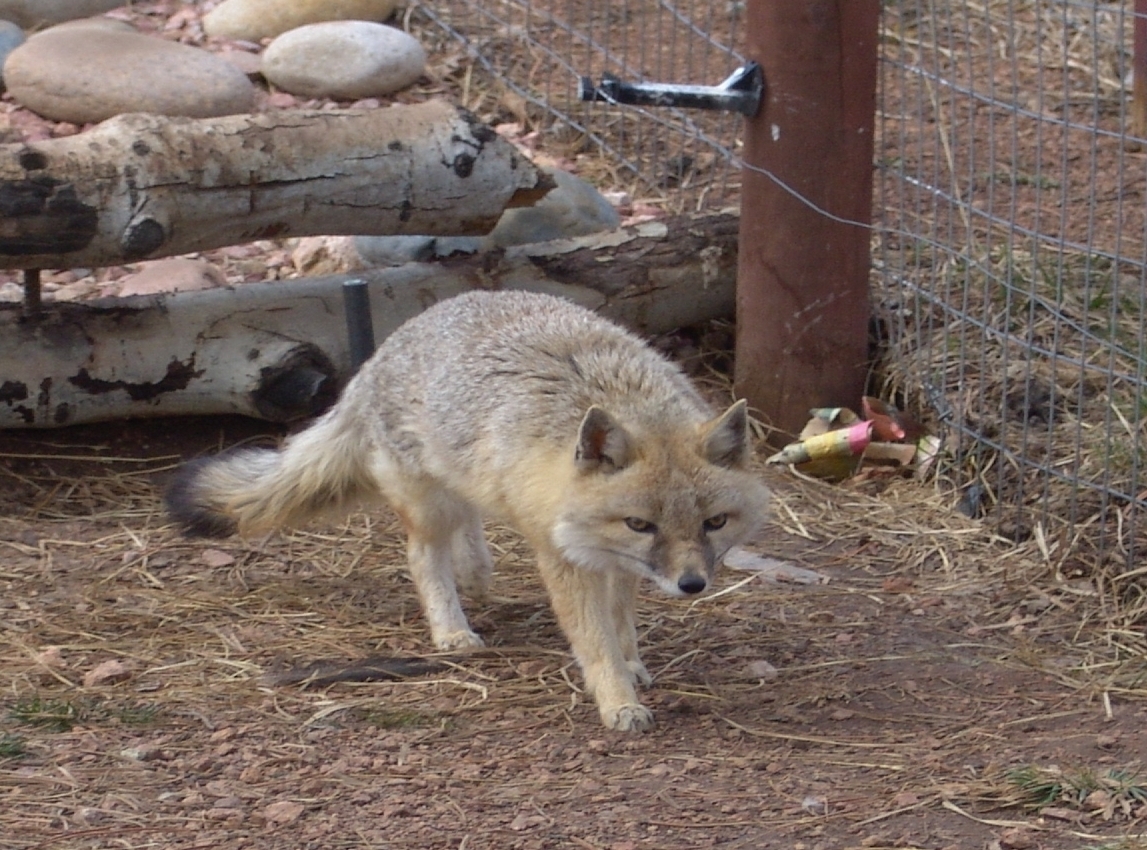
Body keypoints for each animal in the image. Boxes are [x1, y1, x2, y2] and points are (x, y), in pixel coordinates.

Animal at [166, 290, 771, 732]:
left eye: (714, 523)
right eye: (642, 524)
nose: (692, 585)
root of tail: (381, 352)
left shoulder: (617, 560)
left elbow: (621, 622)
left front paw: (633, 664)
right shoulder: (568, 558)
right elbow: (594, 639)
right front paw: (618, 700)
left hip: (461, 482)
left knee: (469, 520)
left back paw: (477, 570)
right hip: (428, 505)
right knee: (423, 557)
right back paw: (452, 628)